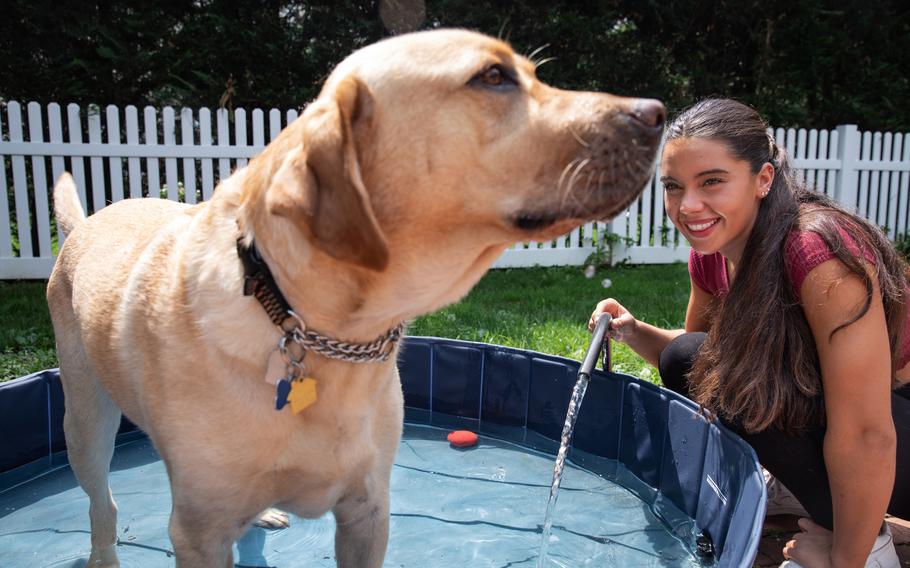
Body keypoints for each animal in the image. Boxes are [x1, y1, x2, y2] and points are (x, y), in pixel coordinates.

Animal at [48, 27, 664, 568]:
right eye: (492, 76)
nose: (657, 113)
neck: (310, 324)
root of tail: (86, 222)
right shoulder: (199, 532)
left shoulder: (368, 510)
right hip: (85, 420)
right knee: (103, 504)